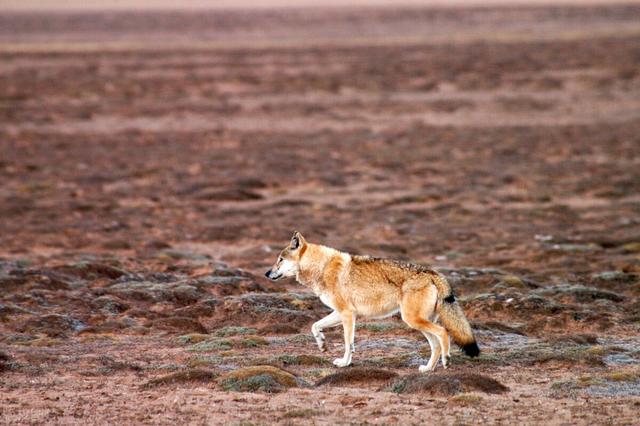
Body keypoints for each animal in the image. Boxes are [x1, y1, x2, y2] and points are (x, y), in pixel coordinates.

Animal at [264, 231, 480, 372]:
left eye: (280, 259)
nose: (267, 273)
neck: (322, 267)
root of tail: (434, 273)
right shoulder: (341, 313)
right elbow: (315, 326)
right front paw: (322, 344)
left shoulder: (347, 314)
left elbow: (348, 342)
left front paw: (344, 363)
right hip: (417, 323)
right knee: (435, 344)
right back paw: (428, 368)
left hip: (413, 320)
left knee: (443, 333)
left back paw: (446, 362)